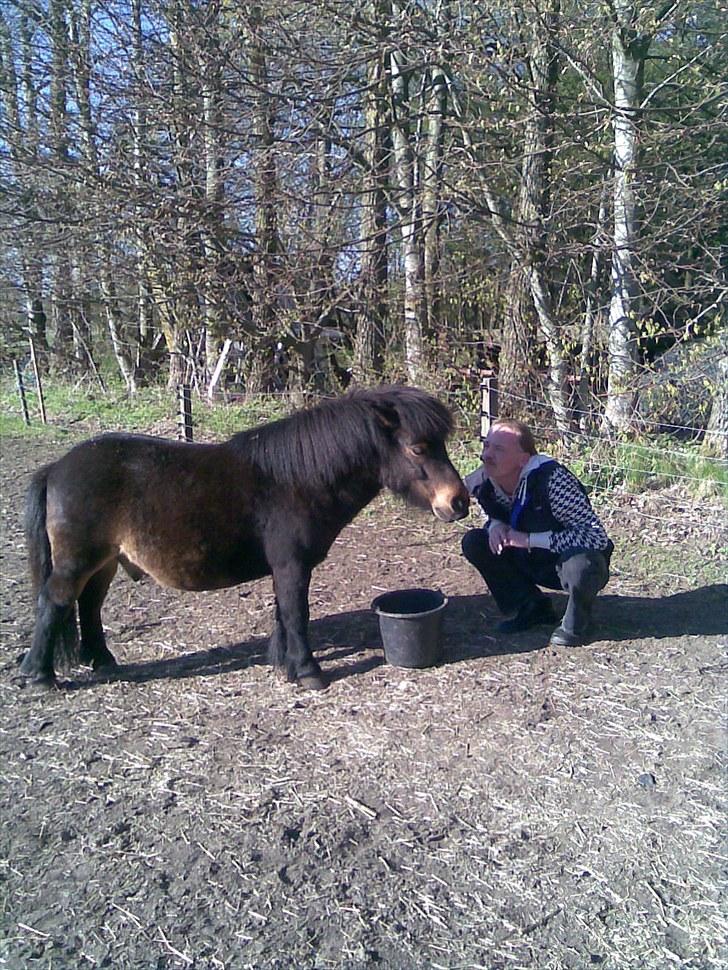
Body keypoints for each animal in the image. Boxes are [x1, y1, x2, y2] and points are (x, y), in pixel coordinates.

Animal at [21, 384, 472, 688]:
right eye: (418, 448)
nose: (459, 501)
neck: (295, 479)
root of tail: (58, 468)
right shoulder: (291, 566)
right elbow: (295, 614)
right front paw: (308, 672)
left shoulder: (285, 567)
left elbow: (283, 615)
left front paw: (285, 665)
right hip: (77, 562)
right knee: (55, 602)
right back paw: (39, 675)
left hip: (104, 563)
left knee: (88, 606)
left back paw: (102, 660)